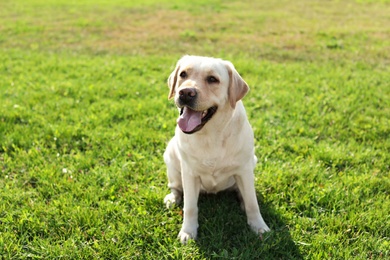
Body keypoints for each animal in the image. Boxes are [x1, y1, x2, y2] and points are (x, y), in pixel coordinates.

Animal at [163, 55, 270, 244]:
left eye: (212, 79)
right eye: (183, 74)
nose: (185, 93)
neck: (210, 134)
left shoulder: (244, 170)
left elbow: (252, 202)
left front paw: (258, 226)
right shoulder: (189, 173)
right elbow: (190, 206)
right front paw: (188, 231)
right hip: (171, 159)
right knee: (176, 187)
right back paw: (172, 198)